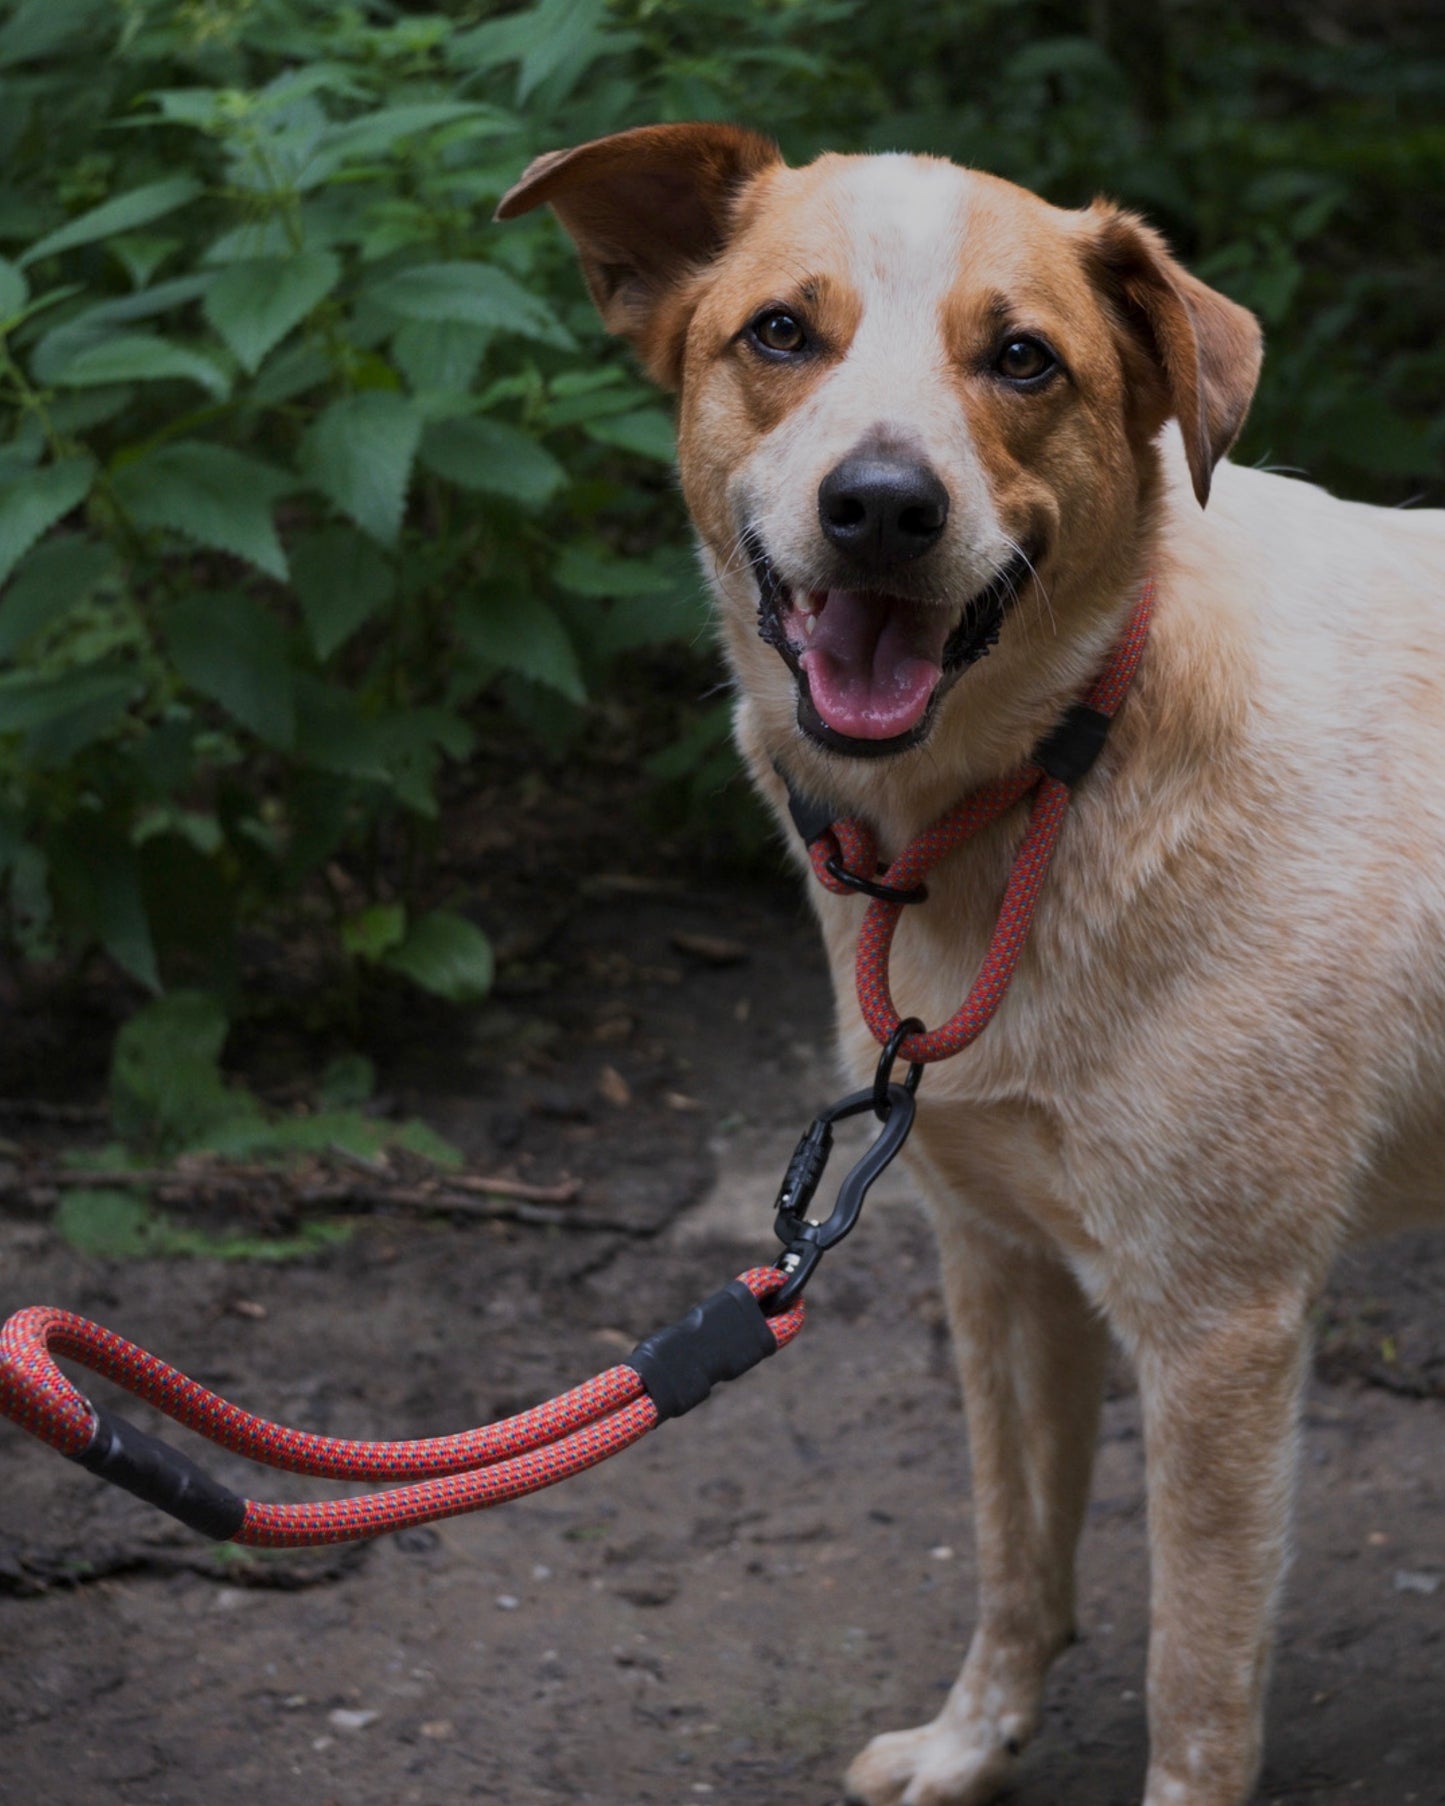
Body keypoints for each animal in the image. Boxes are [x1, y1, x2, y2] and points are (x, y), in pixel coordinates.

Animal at [498, 127, 1445, 1806]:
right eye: (780, 333)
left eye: (1021, 359)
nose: (882, 506)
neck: (1058, 774)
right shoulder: (998, 1255)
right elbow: (1018, 1554)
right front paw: (972, 1742)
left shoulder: (1221, 1324)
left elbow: (1196, 1682)